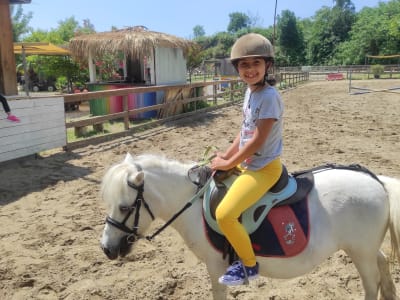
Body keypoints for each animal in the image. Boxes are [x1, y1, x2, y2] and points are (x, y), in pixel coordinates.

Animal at [99, 154, 400, 298]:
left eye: (124, 207)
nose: (106, 249)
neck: (194, 204)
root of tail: (376, 181)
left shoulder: (216, 267)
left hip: (360, 253)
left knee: (371, 284)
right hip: (365, 249)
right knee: (383, 264)